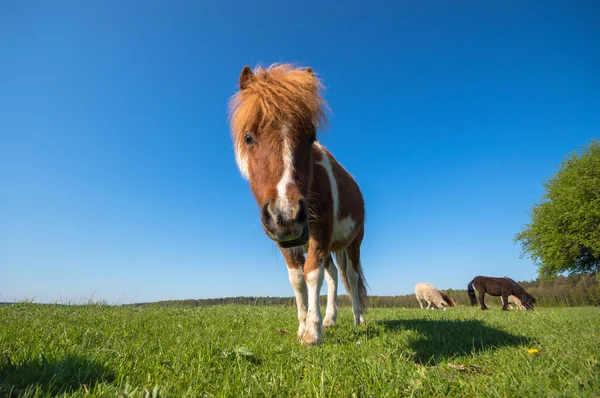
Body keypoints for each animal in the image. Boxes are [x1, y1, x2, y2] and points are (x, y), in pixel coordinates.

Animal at [230, 63, 368, 344]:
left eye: (310, 137)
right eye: (248, 137)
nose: (286, 215)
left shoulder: (320, 231)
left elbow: (312, 273)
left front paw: (312, 332)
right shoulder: (285, 239)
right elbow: (297, 279)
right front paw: (304, 325)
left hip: (353, 244)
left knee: (351, 276)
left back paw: (358, 319)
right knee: (334, 275)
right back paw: (330, 319)